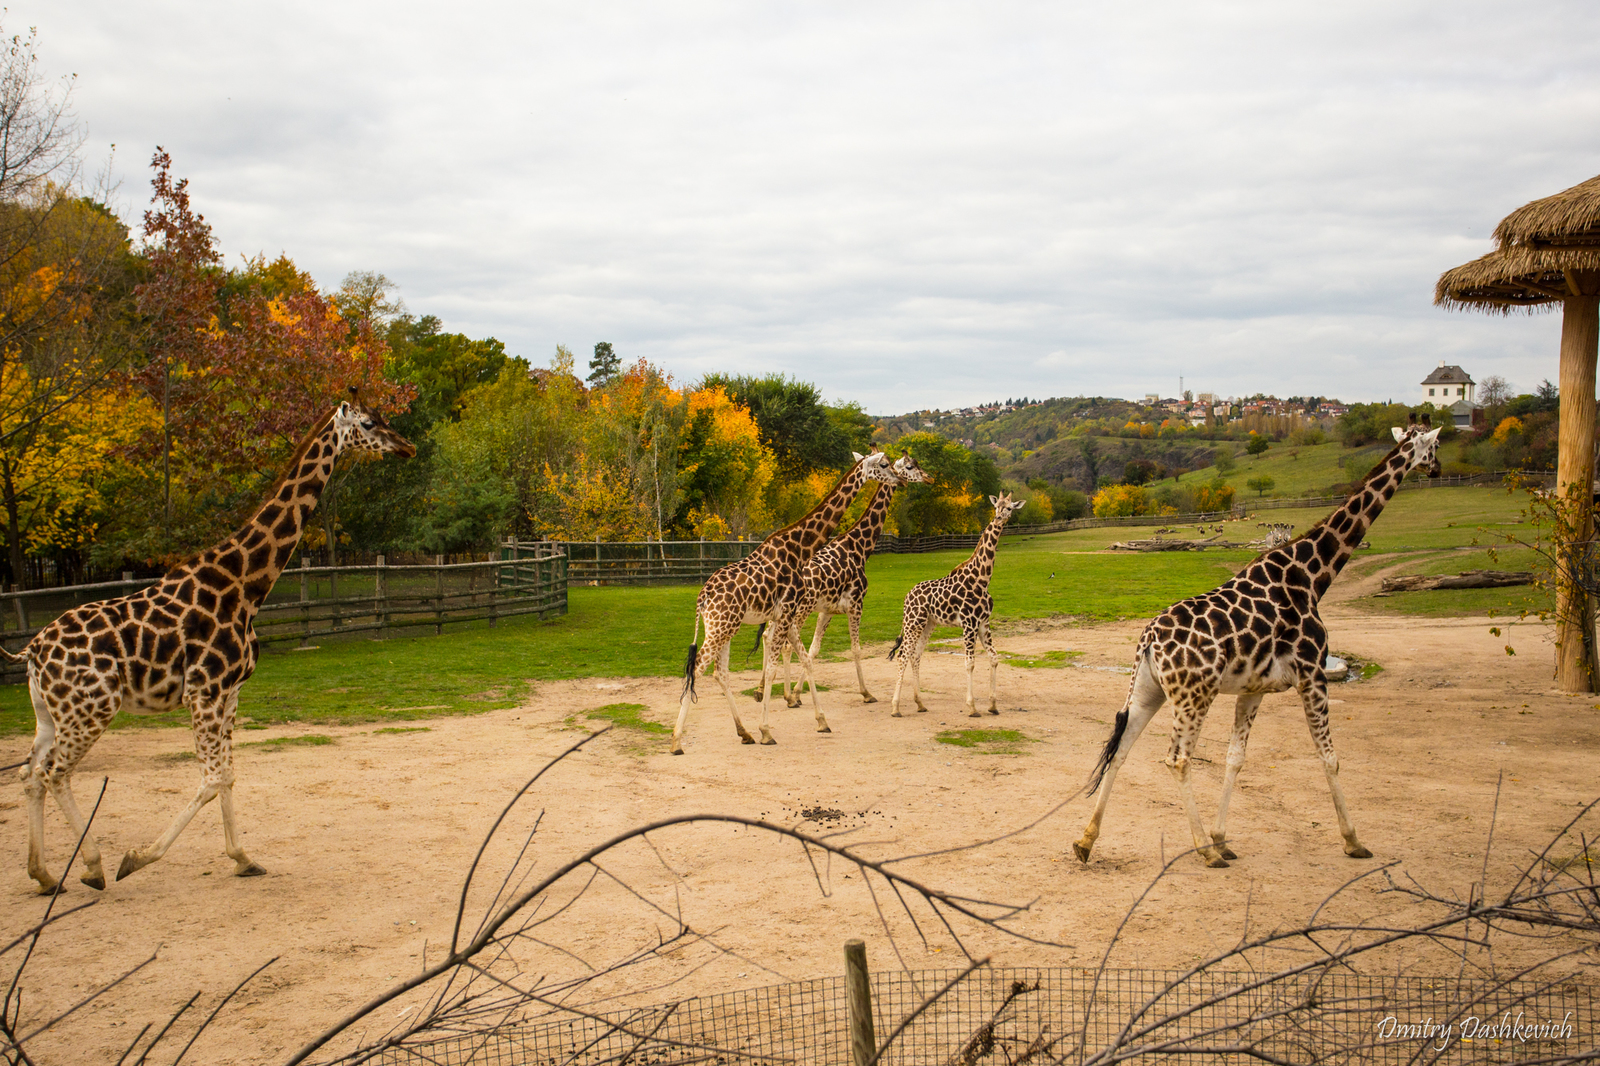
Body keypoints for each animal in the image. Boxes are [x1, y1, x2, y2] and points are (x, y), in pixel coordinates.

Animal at [6, 392, 416, 889]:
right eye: (369, 423)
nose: (407, 447)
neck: (246, 585)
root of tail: (33, 651)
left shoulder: (231, 692)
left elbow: (229, 775)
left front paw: (244, 859)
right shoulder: (203, 690)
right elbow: (212, 777)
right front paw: (137, 857)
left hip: (50, 714)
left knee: (30, 772)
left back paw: (44, 875)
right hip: (91, 709)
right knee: (56, 774)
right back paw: (94, 867)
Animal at [672, 448, 902, 755]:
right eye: (885, 465)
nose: (899, 480)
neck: (800, 548)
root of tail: (703, 595)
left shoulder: (786, 614)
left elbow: (803, 658)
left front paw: (819, 719)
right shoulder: (790, 612)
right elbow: (773, 668)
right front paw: (767, 730)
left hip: (722, 628)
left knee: (720, 673)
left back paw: (743, 732)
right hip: (722, 627)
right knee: (697, 668)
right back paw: (676, 741)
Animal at [768, 451, 934, 701]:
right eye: (910, 466)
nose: (929, 478)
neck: (860, 546)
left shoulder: (827, 610)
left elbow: (814, 649)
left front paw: (797, 690)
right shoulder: (857, 604)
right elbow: (856, 649)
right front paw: (866, 693)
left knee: (770, 640)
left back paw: (767, 691)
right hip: (800, 610)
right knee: (785, 646)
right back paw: (786, 696)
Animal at [889, 489, 1024, 713]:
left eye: (1009, 507)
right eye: (996, 506)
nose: (998, 518)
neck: (982, 579)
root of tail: (907, 597)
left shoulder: (984, 623)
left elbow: (994, 658)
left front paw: (993, 705)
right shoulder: (969, 624)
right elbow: (970, 663)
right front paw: (972, 707)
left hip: (928, 623)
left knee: (915, 655)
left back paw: (920, 704)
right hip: (913, 622)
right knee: (902, 655)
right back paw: (896, 708)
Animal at [1068, 416, 1446, 864]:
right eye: (1434, 446)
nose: (1437, 470)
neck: (1313, 574)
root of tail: (1149, 640)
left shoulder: (1255, 689)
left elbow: (1236, 758)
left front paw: (1222, 838)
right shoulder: (1312, 673)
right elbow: (1330, 757)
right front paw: (1354, 841)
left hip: (1149, 690)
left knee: (1121, 750)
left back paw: (1086, 842)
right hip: (1195, 694)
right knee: (1177, 759)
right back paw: (1202, 851)